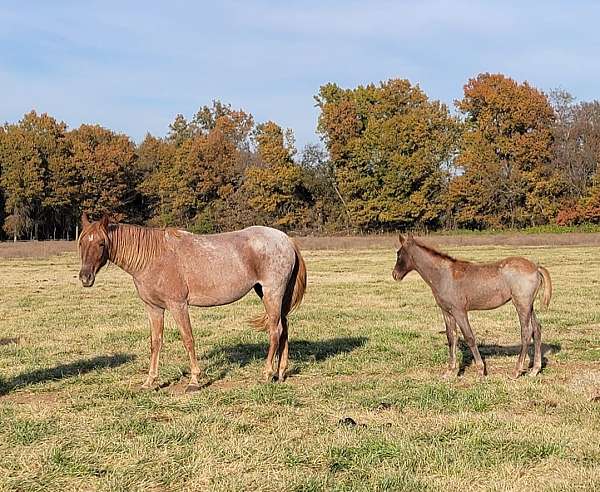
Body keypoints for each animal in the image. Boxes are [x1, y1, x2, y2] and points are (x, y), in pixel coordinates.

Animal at [77, 213, 308, 390]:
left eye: (101, 243)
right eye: (81, 242)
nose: (85, 278)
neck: (153, 257)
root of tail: (286, 240)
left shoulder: (178, 305)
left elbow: (188, 339)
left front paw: (195, 380)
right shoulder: (154, 308)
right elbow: (155, 343)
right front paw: (150, 382)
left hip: (272, 294)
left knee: (275, 331)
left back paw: (267, 374)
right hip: (274, 296)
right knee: (284, 329)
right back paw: (280, 373)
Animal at [392, 234, 552, 376]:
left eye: (399, 254)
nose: (395, 275)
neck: (444, 275)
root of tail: (536, 267)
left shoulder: (459, 311)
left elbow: (469, 337)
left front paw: (481, 370)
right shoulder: (447, 312)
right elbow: (451, 337)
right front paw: (449, 372)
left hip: (521, 305)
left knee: (526, 332)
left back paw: (517, 371)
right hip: (529, 306)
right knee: (537, 330)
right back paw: (534, 370)